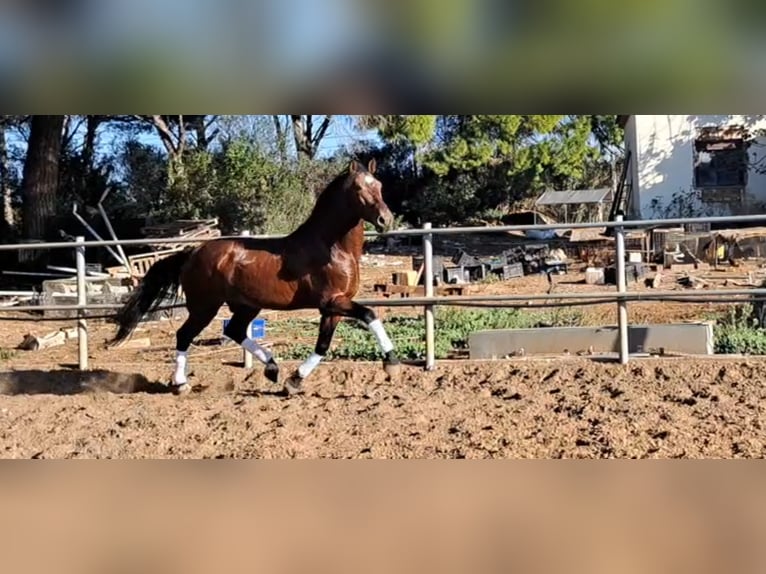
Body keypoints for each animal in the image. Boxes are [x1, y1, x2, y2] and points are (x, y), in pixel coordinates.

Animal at [112, 161, 402, 396]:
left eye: (379, 185)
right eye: (358, 188)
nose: (385, 219)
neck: (332, 248)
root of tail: (193, 252)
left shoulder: (334, 308)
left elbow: (322, 345)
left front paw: (294, 381)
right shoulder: (332, 302)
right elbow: (369, 315)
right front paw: (392, 363)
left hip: (246, 306)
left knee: (234, 330)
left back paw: (272, 368)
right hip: (205, 306)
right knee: (185, 335)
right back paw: (182, 384)